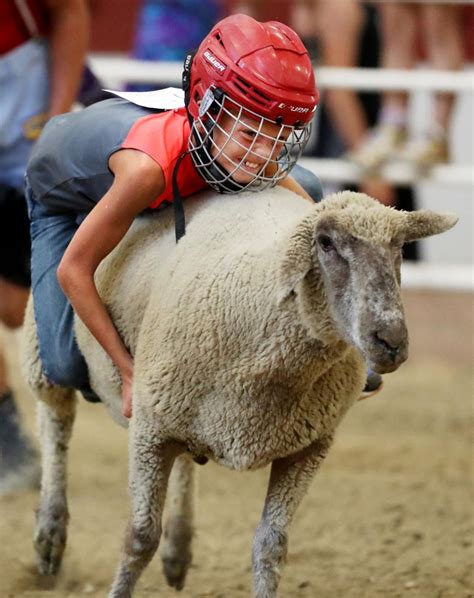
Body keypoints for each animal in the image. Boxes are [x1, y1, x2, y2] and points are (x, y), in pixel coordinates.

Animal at [20, 191, 458, 598]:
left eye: (400, 247)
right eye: (325, 243)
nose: (391, 340)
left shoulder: (308, 446)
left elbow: (270, 545)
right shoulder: (149, 429)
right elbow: (139, 538)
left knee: (183, 459)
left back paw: (178, 549)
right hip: (45, 346)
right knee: (55, 419)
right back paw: (49, 535)